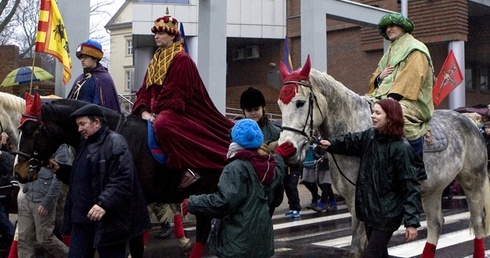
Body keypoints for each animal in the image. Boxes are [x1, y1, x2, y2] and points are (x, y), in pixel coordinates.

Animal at [278, 57, 488, 258]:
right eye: (280, 105)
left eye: (300, 102)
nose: (288, 149)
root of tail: (471, 122)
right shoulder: (352, 199)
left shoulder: (358, 200)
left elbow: (358, 246)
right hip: (433, 188)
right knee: (436, 224)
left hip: (472, 181)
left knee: (477, 221)